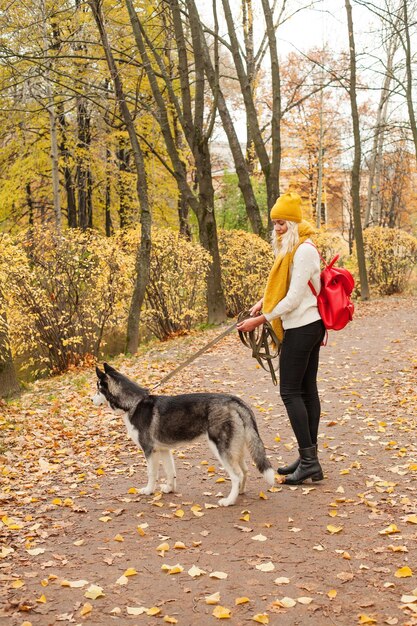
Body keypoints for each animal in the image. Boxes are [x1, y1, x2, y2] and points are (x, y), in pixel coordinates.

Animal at [92, 364, 274, 504]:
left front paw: (149, 490)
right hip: (236, 449)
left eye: (98, 389)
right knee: (244, 471)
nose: (90, 400)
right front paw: (169, 489)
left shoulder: (149, 451)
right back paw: (240, 493)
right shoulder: (164, 450)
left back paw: (229, 501)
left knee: (236, 475)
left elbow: (152, 473)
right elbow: (170, 472)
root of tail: (235, 401)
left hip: (221, 450)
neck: (134, 403)